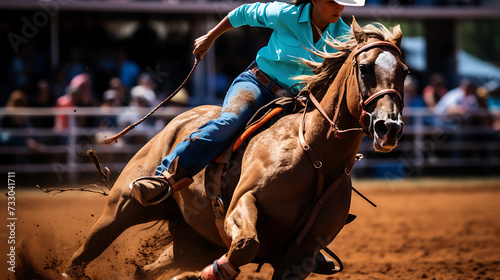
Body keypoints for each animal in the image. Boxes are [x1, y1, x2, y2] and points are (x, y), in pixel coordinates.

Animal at [62, 18, 406, 280]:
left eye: (404, 71)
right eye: (364, 68)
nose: (388, 127)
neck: (316, 155)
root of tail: (181, 119)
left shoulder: (301, 255)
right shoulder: (242, 203)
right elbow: (246, 245)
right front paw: (201, 276)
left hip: (193, 239)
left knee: (145, 271)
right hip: (121, 208)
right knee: (86, 251)